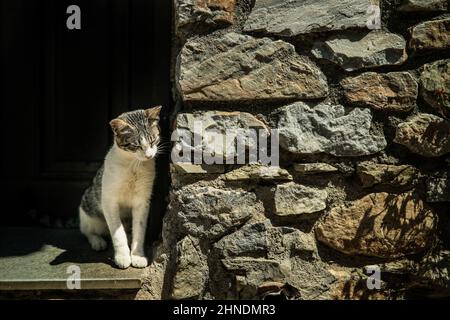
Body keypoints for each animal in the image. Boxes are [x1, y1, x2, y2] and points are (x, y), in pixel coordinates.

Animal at [80, 106, 163, 268]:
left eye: (152, 140)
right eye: (136, 145)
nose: (149, 156)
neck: (134, 165)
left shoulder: (142, 201)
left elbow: (140, 230)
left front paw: (137, 256)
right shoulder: (109, 201)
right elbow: (118, 233)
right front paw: (123, 257)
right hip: (89, 212)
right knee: (88, 231)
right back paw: (97, 241)